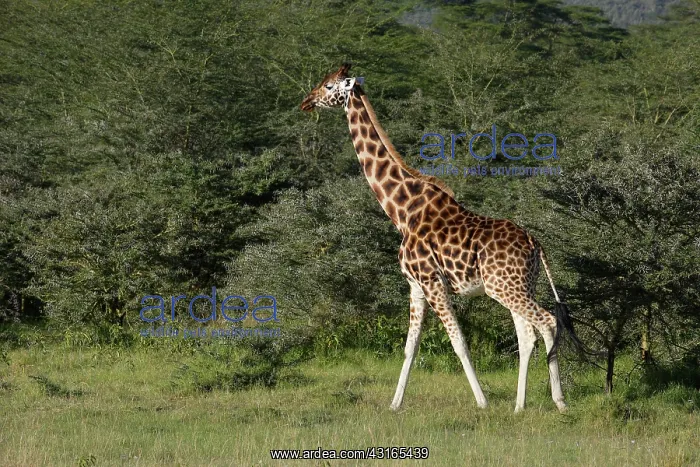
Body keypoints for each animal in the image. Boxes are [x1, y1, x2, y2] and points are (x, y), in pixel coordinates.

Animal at [301, 64, 586, 413]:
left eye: (329, 86)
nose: (306, 101)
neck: (402, 211)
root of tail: (536, 245)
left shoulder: (432, 281)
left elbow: (458, 341)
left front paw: (482, 402)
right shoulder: (415, 285)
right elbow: (410, 346)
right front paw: (394, 405)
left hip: (505, 288)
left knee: (546, 323)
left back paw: (559, 401)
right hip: (518, 286)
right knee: (526, 334)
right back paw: (519, 406)